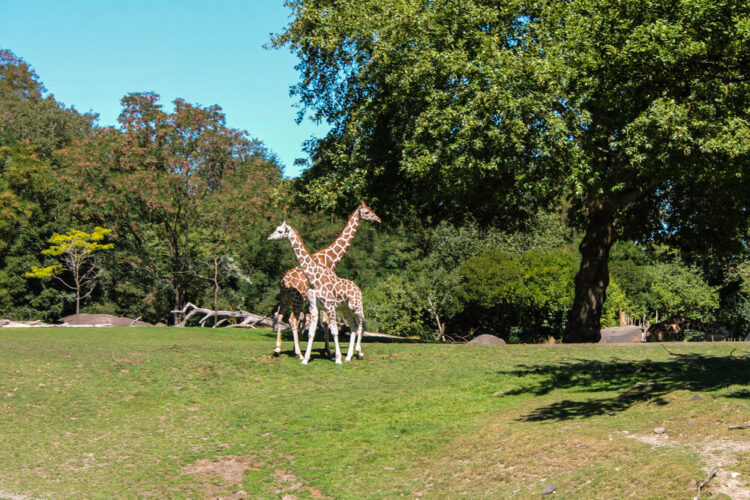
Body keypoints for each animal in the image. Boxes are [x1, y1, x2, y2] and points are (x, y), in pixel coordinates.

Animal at [268, 221, 368, 366]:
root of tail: (358, 289)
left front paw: (337, 358)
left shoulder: (329, 306)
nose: (269, 237)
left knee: (362, 323)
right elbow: (311, 332)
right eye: (276, 229)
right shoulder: (314, 306)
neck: (314, 278)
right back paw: (349, 357)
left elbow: (334, 331)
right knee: (354, 326)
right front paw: (305, 359)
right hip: (345, 309)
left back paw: (359, 353)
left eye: (280, 231)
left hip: (355, 306)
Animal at [274, 201, 382, 358]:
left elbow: (314, 322)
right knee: (292, 319)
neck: (331, 259)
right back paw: (298, 352)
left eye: (371, 209)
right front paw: (328, 351)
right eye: (367, 212)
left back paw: (278, 349)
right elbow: (324, 322)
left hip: (285, 298)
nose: (378, 219)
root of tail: (283, 281)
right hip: (297, 299)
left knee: (279, 315)